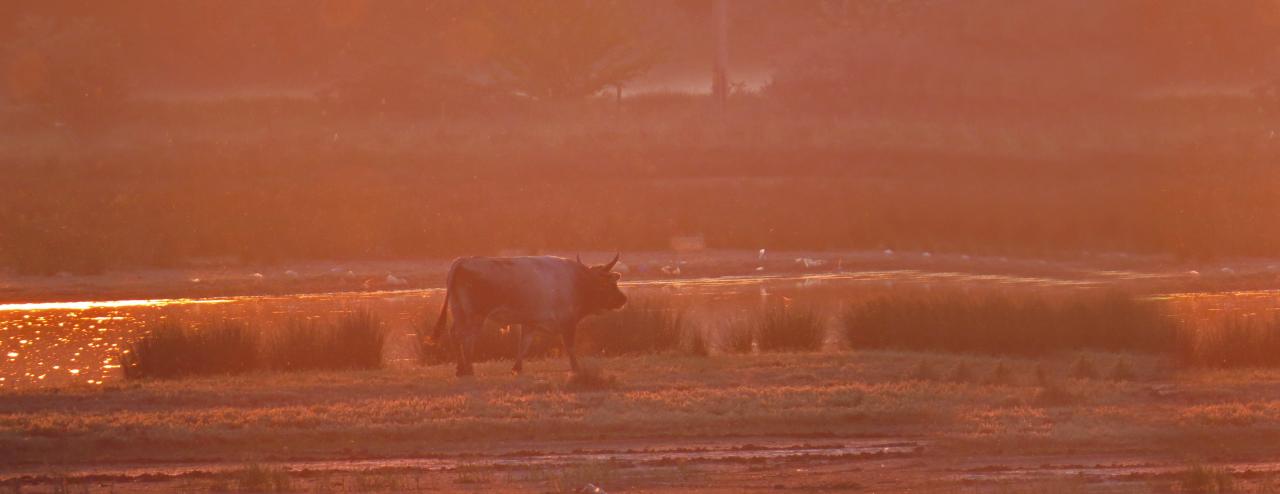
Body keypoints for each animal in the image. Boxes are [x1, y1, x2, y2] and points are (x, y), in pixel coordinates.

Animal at [432, 254, 627, 373]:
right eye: (611, 283)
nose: (623, 299)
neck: (577, 280)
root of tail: (463, 260)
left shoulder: (530, 322)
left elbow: (524, 344)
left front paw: (517, 368)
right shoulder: (568, 322)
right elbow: (570, 347)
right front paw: (576, 369)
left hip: (459, 310)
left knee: (454, 334)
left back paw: (460, 369)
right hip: (474, 315)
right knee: (466, 338)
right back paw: (468, 369)